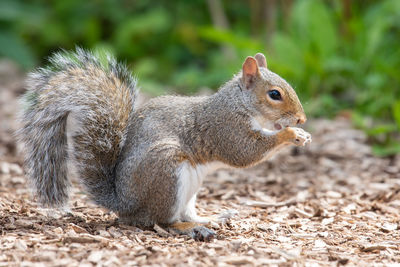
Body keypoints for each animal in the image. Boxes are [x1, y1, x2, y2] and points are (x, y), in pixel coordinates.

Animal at [18, 48, 310, 243]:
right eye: (274, 94)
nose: (302, 118)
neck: (240, 103)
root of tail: (124, 203)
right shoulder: (226, 129)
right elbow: (245, 153)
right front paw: (291, 134)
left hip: (188, 188)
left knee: (183, 214)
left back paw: (207, 218)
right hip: (167, 173)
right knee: (161, 221)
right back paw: (190, 229)